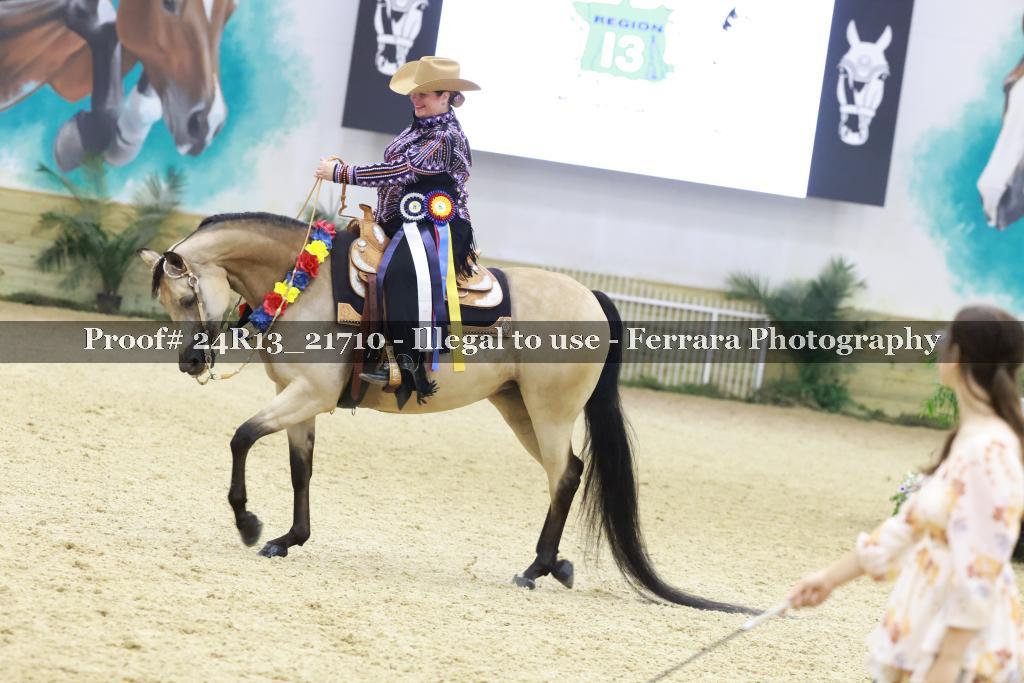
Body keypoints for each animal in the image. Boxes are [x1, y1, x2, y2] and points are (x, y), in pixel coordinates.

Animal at [138, 211, 754, 614]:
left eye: (187, 297)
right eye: (169, 301)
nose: (190, 362)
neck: (305, 284)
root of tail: (592, 297)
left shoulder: (309, 394)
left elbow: (241, 437)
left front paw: (248, 524)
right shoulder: (299, 399)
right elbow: (300, 471)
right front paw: (288, 538)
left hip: (550, 411)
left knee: (564, 476)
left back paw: (535, 569)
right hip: (519, 410)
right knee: (570, 472)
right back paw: (553, 566)